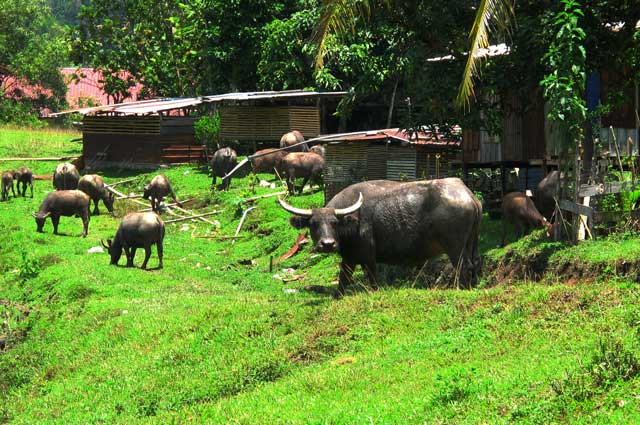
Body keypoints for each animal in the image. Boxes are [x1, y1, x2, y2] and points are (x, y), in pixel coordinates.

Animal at [278, 177, 480, 294]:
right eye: (313, 224)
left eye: (334, 223)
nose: (327, 244)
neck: (352, 222)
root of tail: (469, 195)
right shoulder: (349, 258)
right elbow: (343, 280)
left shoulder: (368, 257)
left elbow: (373, 279)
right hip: (470, 244)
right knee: (474, 264)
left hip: (455, 247)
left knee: (463, 266)